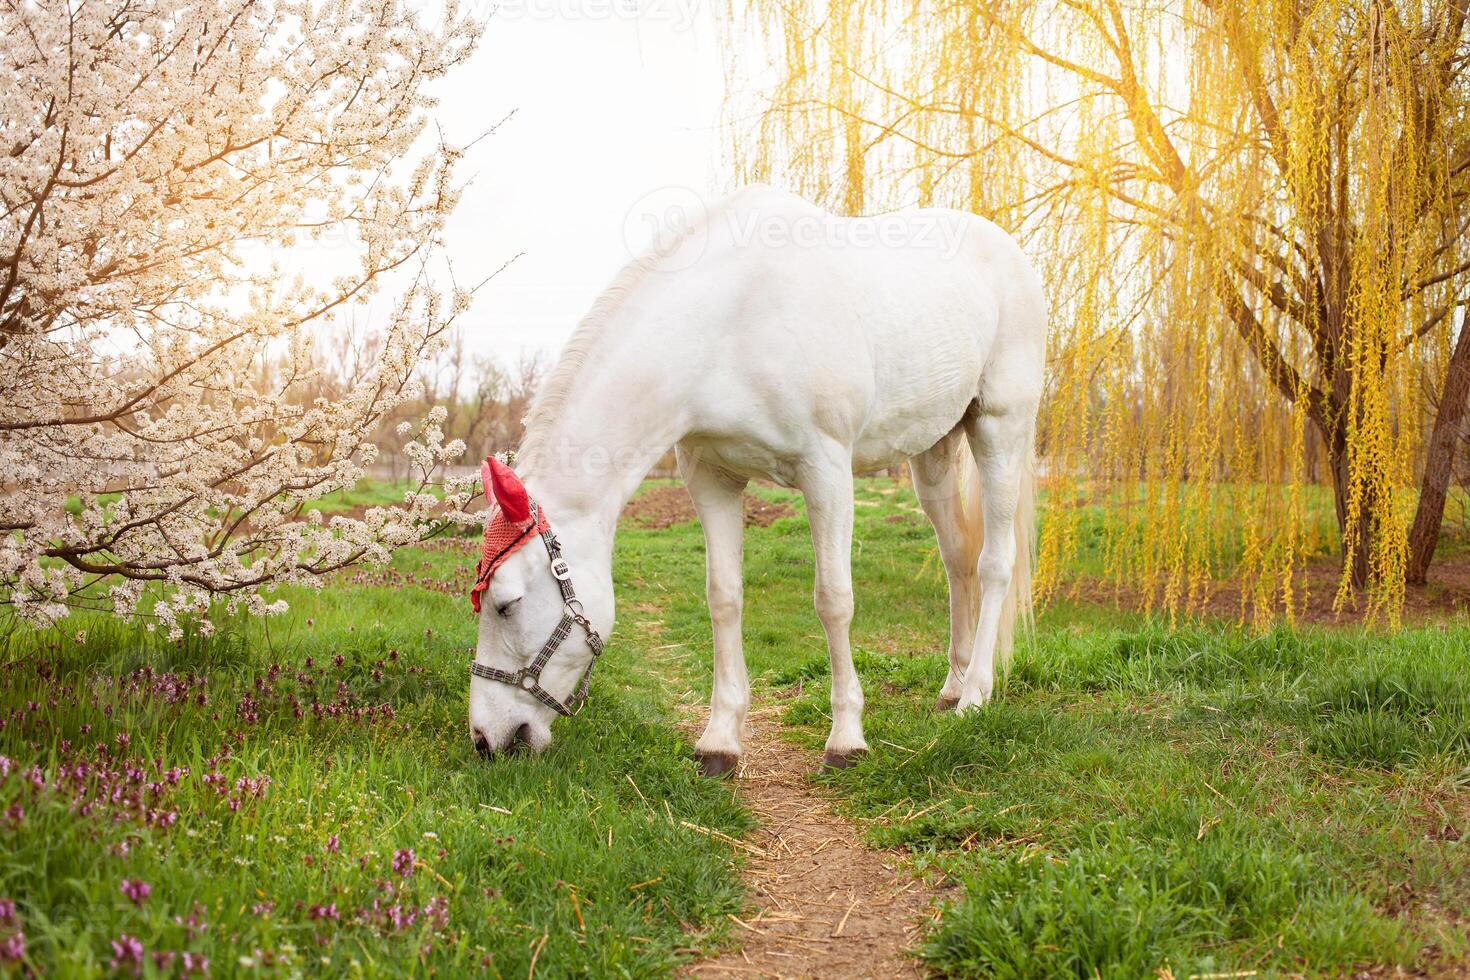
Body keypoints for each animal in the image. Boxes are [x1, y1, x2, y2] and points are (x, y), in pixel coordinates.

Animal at [470, 179, 1046, 769]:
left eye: (507, 604)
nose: (488, 740)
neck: (728, 325)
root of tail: (1009, 251)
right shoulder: (711, 477)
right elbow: (723, 598)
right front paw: (720, 740)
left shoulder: (826, 472)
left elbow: (833, 600)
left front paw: (846, 737)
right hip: (931, 451)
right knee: (958, 561)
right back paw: (952, 686)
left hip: (1000, 429)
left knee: (994, 563)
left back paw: (975, 695)